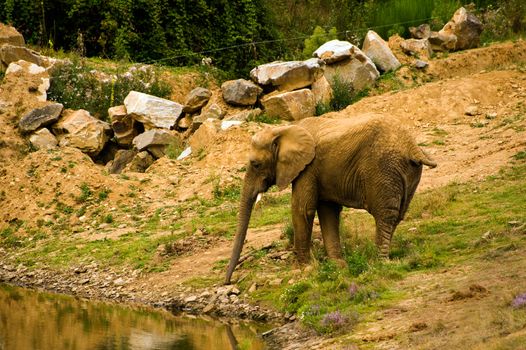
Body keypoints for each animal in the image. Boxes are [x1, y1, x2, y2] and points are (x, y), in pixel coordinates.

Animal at [226, 115, 438, 284]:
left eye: (255, 164)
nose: (228, 282)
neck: (284, 130)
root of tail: (413, 147)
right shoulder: (318, 172)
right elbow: (328, 212)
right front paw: (338, 265)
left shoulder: (307, 168)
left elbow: (302, 209)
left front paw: (304, 268)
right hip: (408, 173)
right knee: (397, 215)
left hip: (384, 168)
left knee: (384, 216)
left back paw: (379, 262)